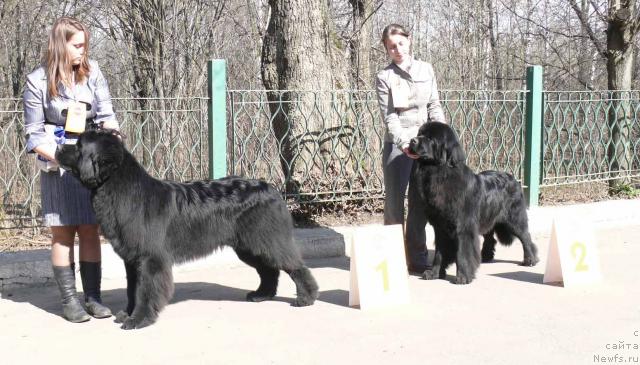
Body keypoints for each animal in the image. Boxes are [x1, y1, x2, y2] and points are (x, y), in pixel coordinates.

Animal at [56, 129, 318, 328]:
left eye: (78, 146)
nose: (58, 148)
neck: (120, 188)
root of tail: (271, 188)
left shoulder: (150, 259)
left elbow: (145, 290)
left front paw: (139, 320)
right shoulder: (132, 259)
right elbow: (133, 289)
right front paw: (127, 314)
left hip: (267, 239)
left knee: (294, 266)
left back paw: (306, 298)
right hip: (248, 245)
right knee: (268, 270)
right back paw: (261, 294)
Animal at [408, 122, 536, 284]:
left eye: (430, 138)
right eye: (420, 134)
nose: (412, 140)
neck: (439, 174)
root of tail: (513, 178)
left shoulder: (464, 226)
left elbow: (463, 252)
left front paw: (463, 276)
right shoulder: (440, 227)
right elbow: (439, 253)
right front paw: (434, 273)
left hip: (514, 219)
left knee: (525, 237)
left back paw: (530, 260)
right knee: (490, 237)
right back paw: (486, 256)